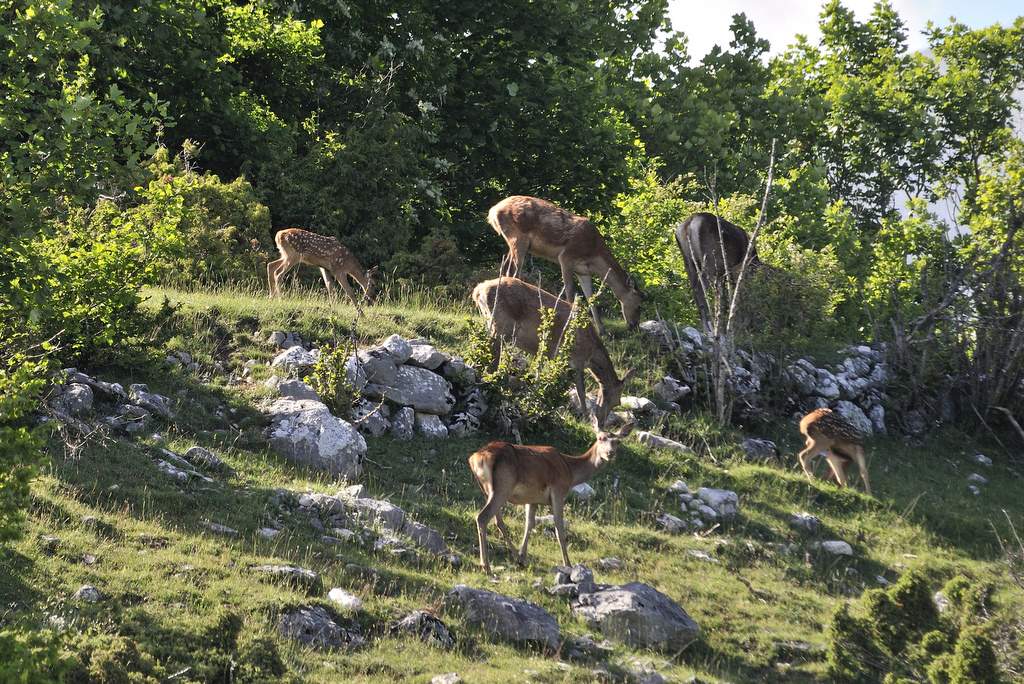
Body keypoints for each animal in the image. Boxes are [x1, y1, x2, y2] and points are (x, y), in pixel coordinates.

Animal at [468, 417, 630, 573]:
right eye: (600, 438)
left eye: (617, 442)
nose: (610, 453)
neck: (570, 471)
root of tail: (477, 457)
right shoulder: (558, 491)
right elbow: (559, 528)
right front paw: (568, 564)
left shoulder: (532, 498)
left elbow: (529, 524)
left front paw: (523, 555)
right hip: (503, 486)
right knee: (482, 517)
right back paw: (486, 566)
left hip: (487, 489)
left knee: (498, 521)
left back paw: (515, 558)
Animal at [471, 276, 630, 428]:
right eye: (616, 401)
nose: (601, 423)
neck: (591, 354)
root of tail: (478, 290)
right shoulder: (574, 360)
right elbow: (580, 391)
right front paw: (583, 417)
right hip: (501, 326)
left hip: (490, 322)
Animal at [485, 194, 638, 333]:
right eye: (639, 302)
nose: (634, 326)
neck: (593, 254)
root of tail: (492, 211)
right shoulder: (566, 257)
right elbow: (570, 292)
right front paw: (573, 323)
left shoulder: (583, 271)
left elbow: (591, 298)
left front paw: (602, 331)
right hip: (518, 237)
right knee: (515, 271)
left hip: (513, 243)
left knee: (505, 267)